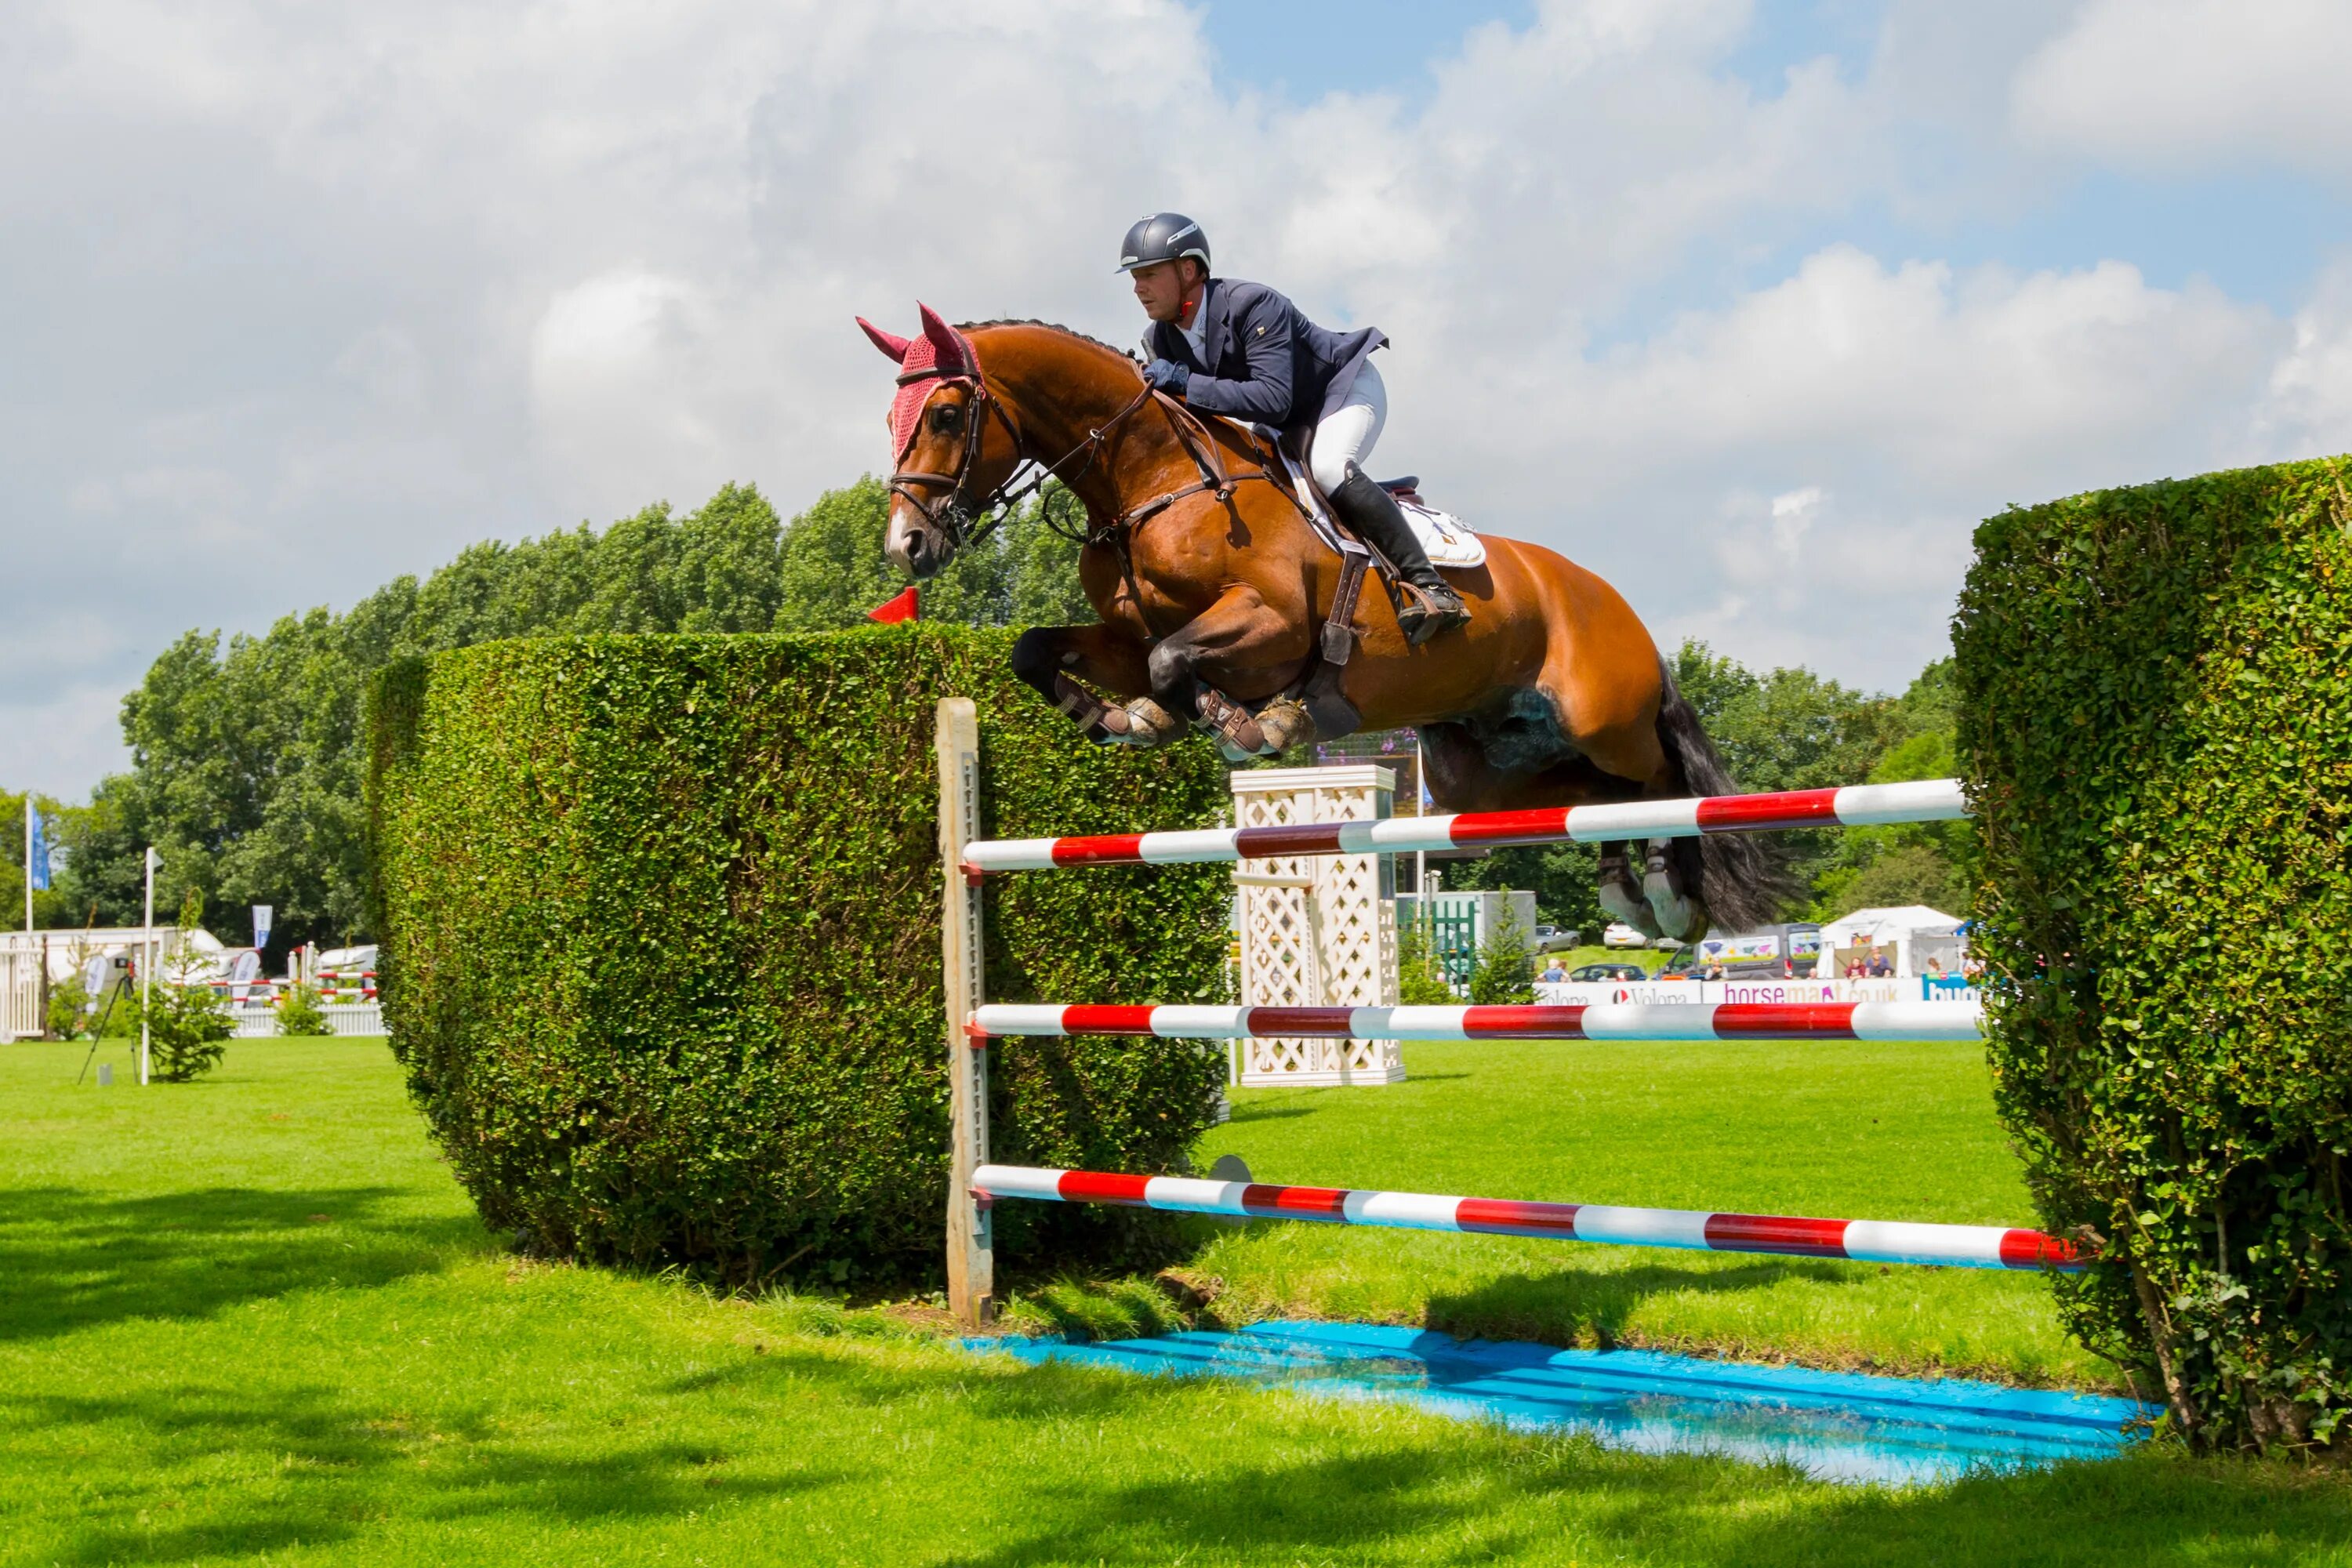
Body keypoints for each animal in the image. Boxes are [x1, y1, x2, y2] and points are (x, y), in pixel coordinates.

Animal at [856, 310, 1769, 945]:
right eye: (891, 417)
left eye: (944, 415)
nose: (906, 546)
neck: (1147, 476)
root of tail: (1615, 601)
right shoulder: (1124, 635)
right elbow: (1048, 650)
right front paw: (1117, 717)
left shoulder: (1272, 626)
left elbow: (1175, 661)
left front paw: (1244, 725)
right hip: (1484, 768)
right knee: (1597, 794)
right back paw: (1630, 893)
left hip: (1603, 717)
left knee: (1659, 780)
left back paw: (1664, 895)